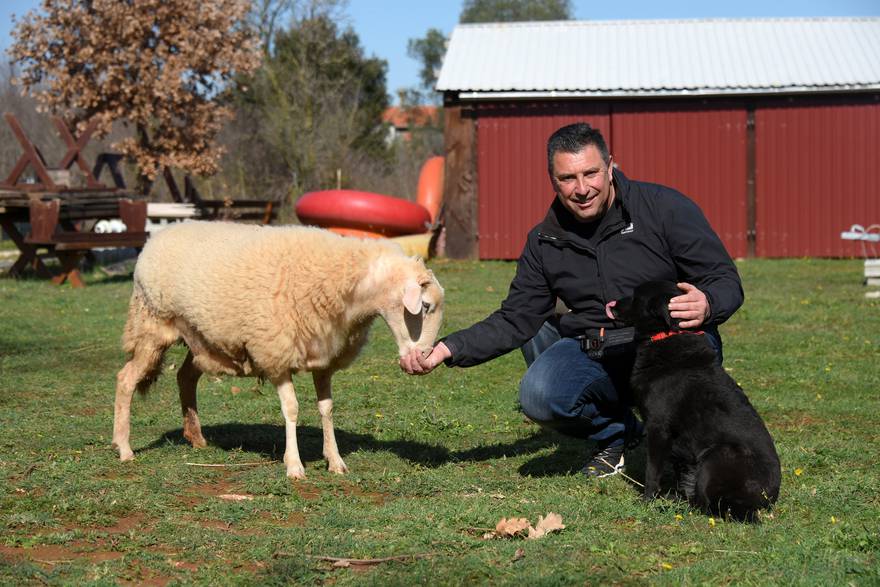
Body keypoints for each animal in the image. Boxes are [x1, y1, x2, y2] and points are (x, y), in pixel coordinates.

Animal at [112, 223, 444, 480]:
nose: (424, 358)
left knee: (184, 377)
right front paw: (294, 466)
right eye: (425, 306)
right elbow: (292, 409)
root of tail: (157, 236)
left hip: (201, 338)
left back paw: (195, 437)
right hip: (151, 325)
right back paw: (124, 448)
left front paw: (335, 461)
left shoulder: (324, 356)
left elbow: (327, 408)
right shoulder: (276, 354)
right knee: (126, 379)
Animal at [608, 282, 780, 520]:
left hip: (715, 456)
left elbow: (652, 472)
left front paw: (647, 501)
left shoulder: (658, 428)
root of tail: (767, 499)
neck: (667, 334)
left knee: (711, 507)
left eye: (635, 296)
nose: (612, 305)